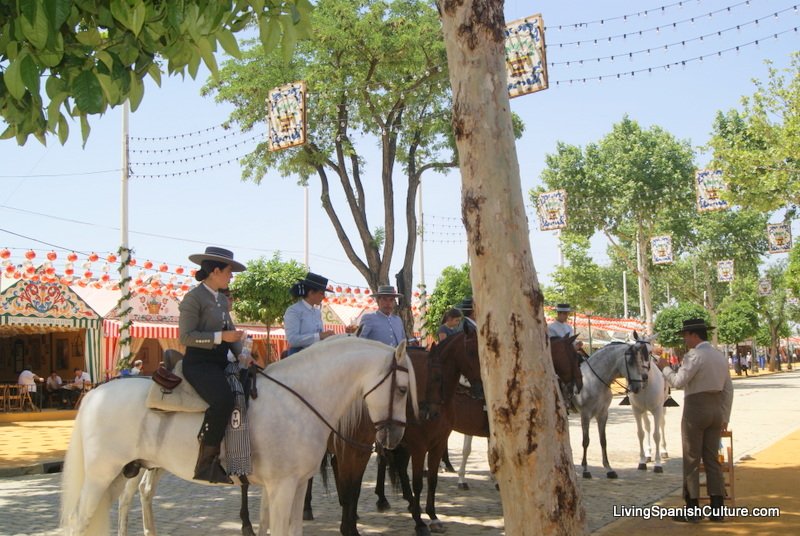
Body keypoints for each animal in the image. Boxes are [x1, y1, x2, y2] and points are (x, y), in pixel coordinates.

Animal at [59, 340, 416, 536]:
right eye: (401, 389)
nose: (397, 435)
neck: (299, 400)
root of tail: (96, 393)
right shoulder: (282, 487)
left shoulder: (299, 484)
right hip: (102, 475)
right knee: (80, 519)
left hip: (126, 471)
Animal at [576, 338, 648, 480]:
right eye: (630, 362)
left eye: (640, 360)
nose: (638, 387)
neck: (594, 379)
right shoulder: (585, 414)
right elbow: (586, 441)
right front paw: (585, 469)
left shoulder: (603, 414)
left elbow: (603, 441)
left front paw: (609, 469)